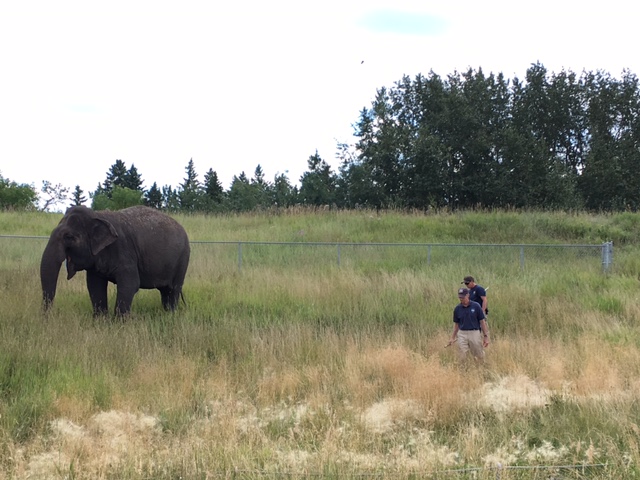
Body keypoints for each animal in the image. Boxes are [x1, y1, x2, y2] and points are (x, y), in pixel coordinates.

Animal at [40, 205, 190, 315]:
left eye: (69, 237)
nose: (49, 316)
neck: (98, 215)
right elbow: (95, 286)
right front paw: (100, 322)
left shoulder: (125, 251)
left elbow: (130, 285)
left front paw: (119, 325)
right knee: (165, 292)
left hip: (183, 259)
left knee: (173, 290)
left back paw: (170, 315)